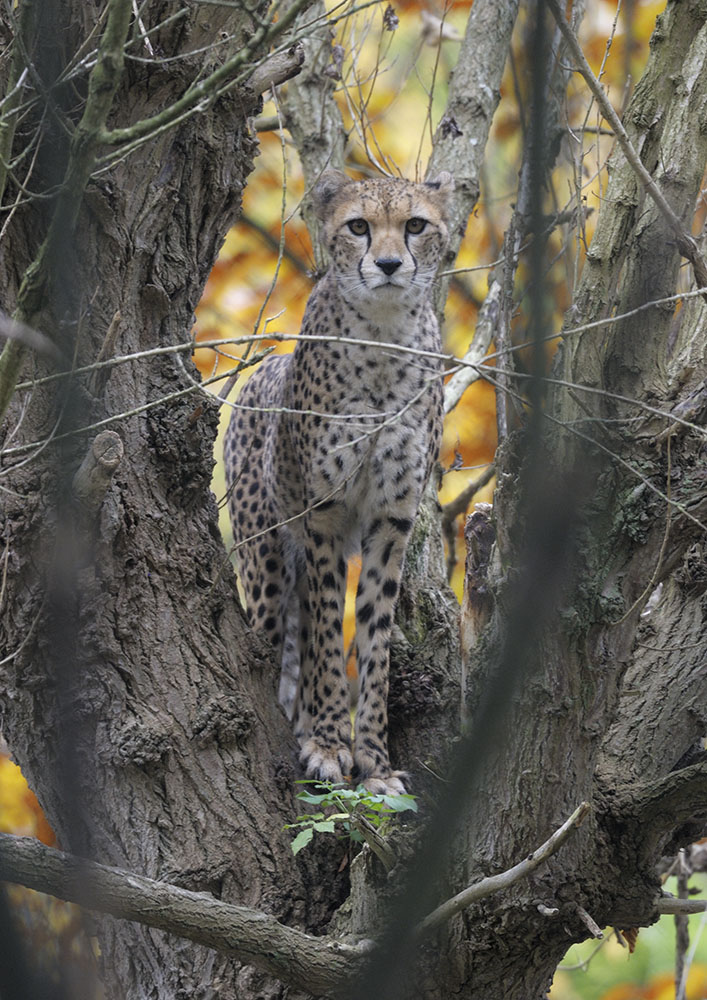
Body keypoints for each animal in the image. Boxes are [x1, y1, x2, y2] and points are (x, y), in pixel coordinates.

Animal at [224, 169, 454, 794]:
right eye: (358, 227)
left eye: (415, 225)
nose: (390, 264)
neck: (383, 338)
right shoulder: (322, 514)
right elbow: (328, 635)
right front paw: (328, 745)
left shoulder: (391, 520)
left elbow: (374, 640)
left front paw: (373, 761)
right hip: (268, 559)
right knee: (279, 640)